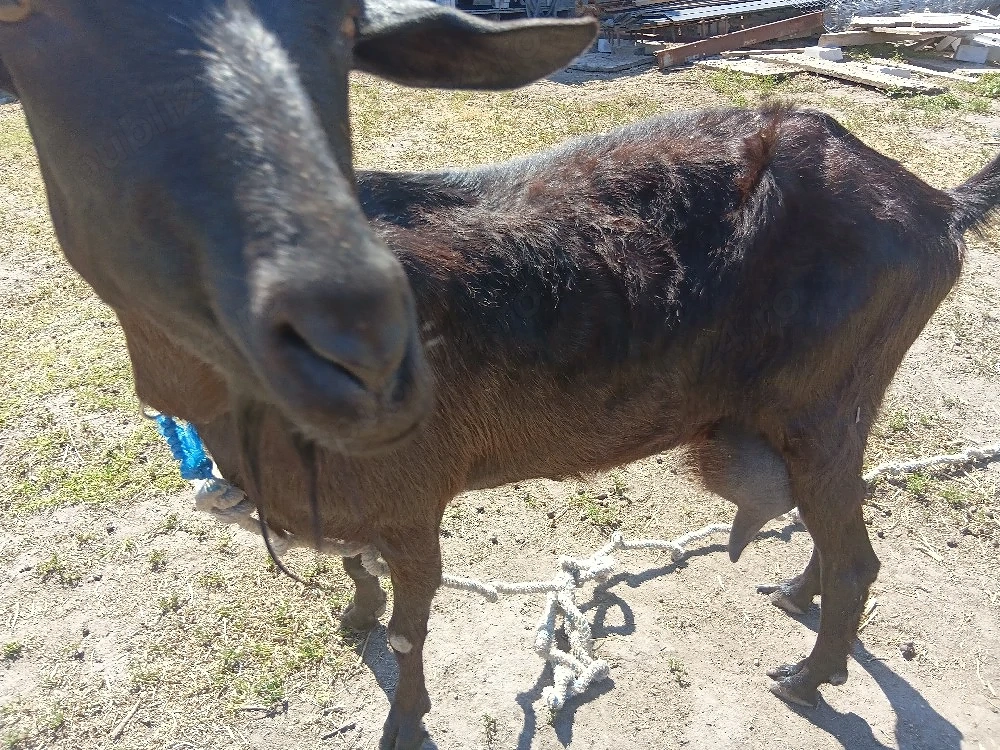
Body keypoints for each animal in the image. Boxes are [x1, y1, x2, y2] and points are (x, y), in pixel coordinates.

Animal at [131, 104, 1000, 749]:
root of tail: (936, 207)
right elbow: (355, 568)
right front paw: (354, 619)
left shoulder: (411, 503)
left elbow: (411, 628)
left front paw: (404, 723)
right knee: (837, 524)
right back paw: (793, 595)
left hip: (823, 410)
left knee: (856, 558)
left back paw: (805, 678)